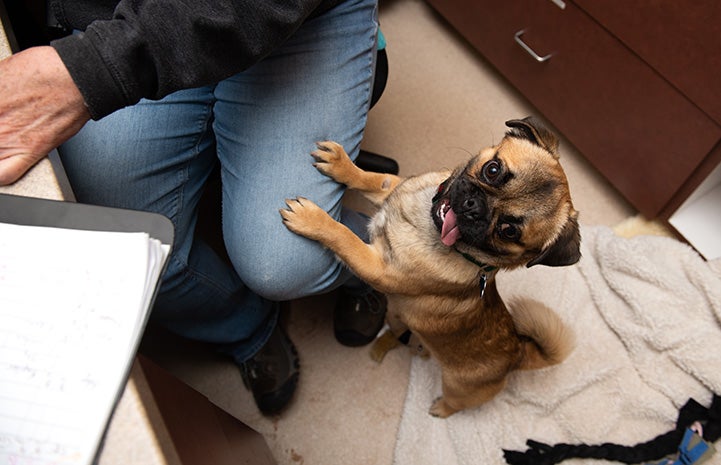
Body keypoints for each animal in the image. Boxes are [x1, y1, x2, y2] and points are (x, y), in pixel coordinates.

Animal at [278, 116, 584, 416]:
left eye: (508, 231)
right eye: (493, 170)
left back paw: (440, 408)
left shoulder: (376, 267)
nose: (474, 206)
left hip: (457, 387)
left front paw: (313, 220)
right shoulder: (391, 186)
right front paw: (341, 164)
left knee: (455, 404)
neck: (428, 223)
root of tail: (517, 354)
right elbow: (372, 179)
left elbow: (345, 237)